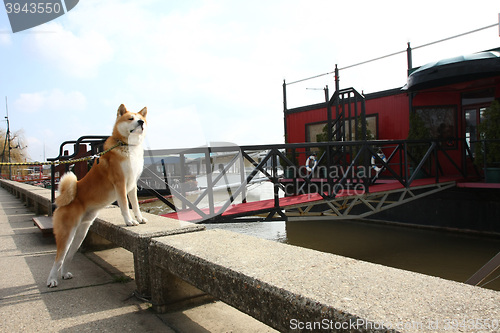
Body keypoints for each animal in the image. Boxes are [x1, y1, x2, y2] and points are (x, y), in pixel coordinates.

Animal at [46, 104, 148, 288]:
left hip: (80, 233)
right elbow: (124, 206)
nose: (141, 122)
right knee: (58, 258)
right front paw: (129, 221)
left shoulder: (132, 185)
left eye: (141, 118)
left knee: (67, 257)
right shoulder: (120, 183)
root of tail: (64, 201)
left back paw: (64, 274)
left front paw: (140, 218)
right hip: (66, 234)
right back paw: (52, 280)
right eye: (131, 118)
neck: (128, 147)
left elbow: (135, 205)